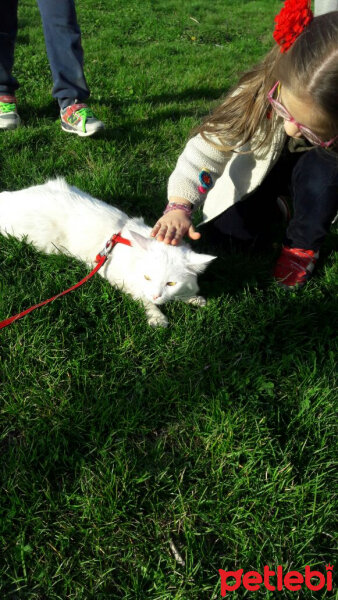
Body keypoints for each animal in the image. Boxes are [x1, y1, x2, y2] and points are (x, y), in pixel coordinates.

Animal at [0, 178, 217, 328]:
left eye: (171, 283)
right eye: (147, 277)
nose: (156, 295)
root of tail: (8, 198)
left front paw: (192, 298)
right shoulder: (120, 279)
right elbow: (142, 298)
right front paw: (156, 316)